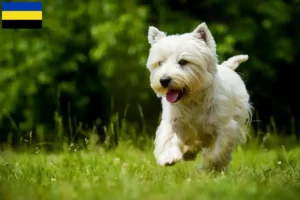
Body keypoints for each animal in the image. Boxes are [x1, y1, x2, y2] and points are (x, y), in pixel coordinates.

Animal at [146, 22, 252, 171]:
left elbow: (217, 152)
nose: (164, 80)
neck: (192, 100)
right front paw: (168, 157)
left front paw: (210, 167)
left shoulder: (225, 127)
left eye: (183, 62)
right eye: (160, 63)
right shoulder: (174, 121)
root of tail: (227, 67)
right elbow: (169, 136)